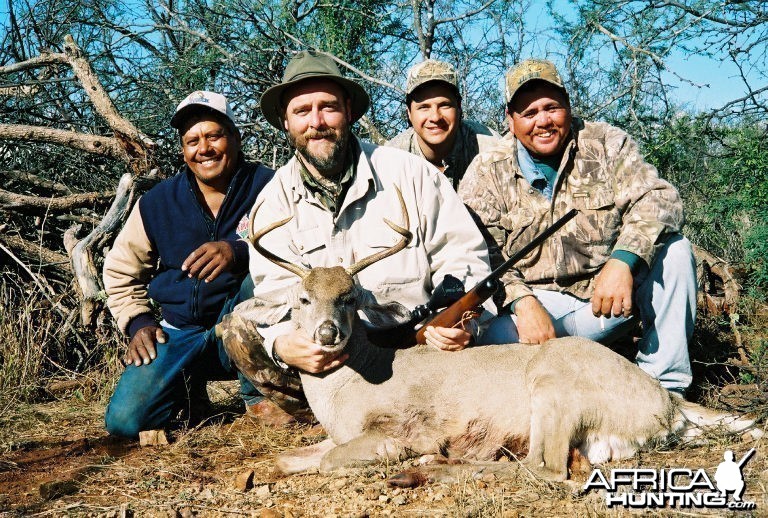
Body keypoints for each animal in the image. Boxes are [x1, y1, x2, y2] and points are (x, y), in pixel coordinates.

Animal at [220, 185, 760, 486]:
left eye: (350, 296)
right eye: (301, 300)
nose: (329, 332)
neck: (350, 387)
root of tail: (666, 404)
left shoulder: (400, 429)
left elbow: (334, 461)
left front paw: (413, 457)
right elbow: (287, 458)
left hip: (555, 389)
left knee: (550, 470)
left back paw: (427, 468)